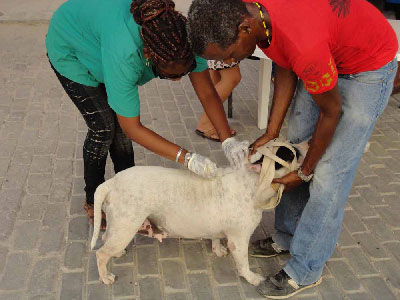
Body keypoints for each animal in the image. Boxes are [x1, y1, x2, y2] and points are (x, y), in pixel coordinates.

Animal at [91, 142, 306, 284]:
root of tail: (112, 182)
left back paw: (117, 252)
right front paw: (252, 278)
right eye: (289, 154)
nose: (302, 147)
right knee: (101, 253)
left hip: (118, 226)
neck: (253, 181)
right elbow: (244, 264)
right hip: (125, 227)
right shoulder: (239, 240)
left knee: (105, 237)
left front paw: (217, 249)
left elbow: (216, 238)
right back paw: (105, 276)